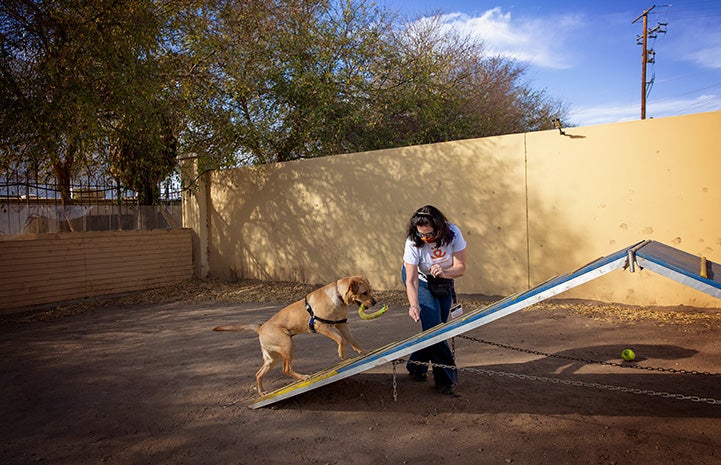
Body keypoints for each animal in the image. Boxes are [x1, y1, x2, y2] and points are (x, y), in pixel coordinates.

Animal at [212, 276, 376, 396]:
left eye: (370, 290)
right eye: (364, 293)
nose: (375, 302)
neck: (338, 296)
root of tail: (260, 327)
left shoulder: (342, 325)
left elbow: (353, 341)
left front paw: (363, 352)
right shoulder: (322, 326)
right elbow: (340, 340)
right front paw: (341, 353)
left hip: (272, 358)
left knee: (258, 374)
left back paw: (262, 392)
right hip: (287, 345)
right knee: (286, 369)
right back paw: (303, 377)